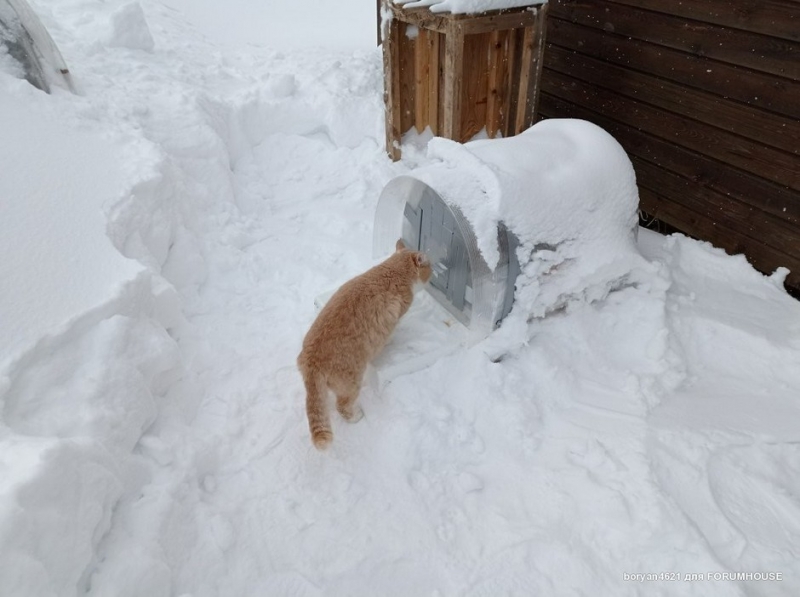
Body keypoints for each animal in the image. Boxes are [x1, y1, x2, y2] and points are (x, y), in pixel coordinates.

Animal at [296, 240, 432, 450]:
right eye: (430, 268)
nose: (433, 276)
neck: (392, 270)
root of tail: (311, 362)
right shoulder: (397, 313)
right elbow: (392, 331)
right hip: (352, 383)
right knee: (342, 406)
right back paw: (355, 416)